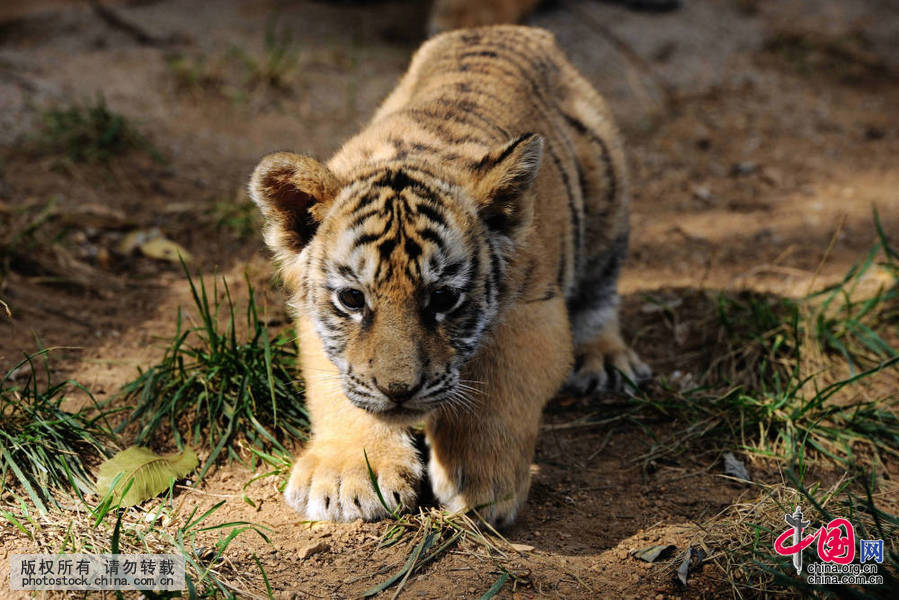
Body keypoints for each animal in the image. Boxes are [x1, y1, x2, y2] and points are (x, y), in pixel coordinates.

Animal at [249, 25, 650, 526]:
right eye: (352, 300)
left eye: (442, 299)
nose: (399, 391)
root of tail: (507, 29)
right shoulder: (312, 320)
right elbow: (337, 388)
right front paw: (347, 479)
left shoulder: (531, 310)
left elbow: (496, 389)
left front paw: (478, 483)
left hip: (607, 196)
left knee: (601, 288)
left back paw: (607, 361)